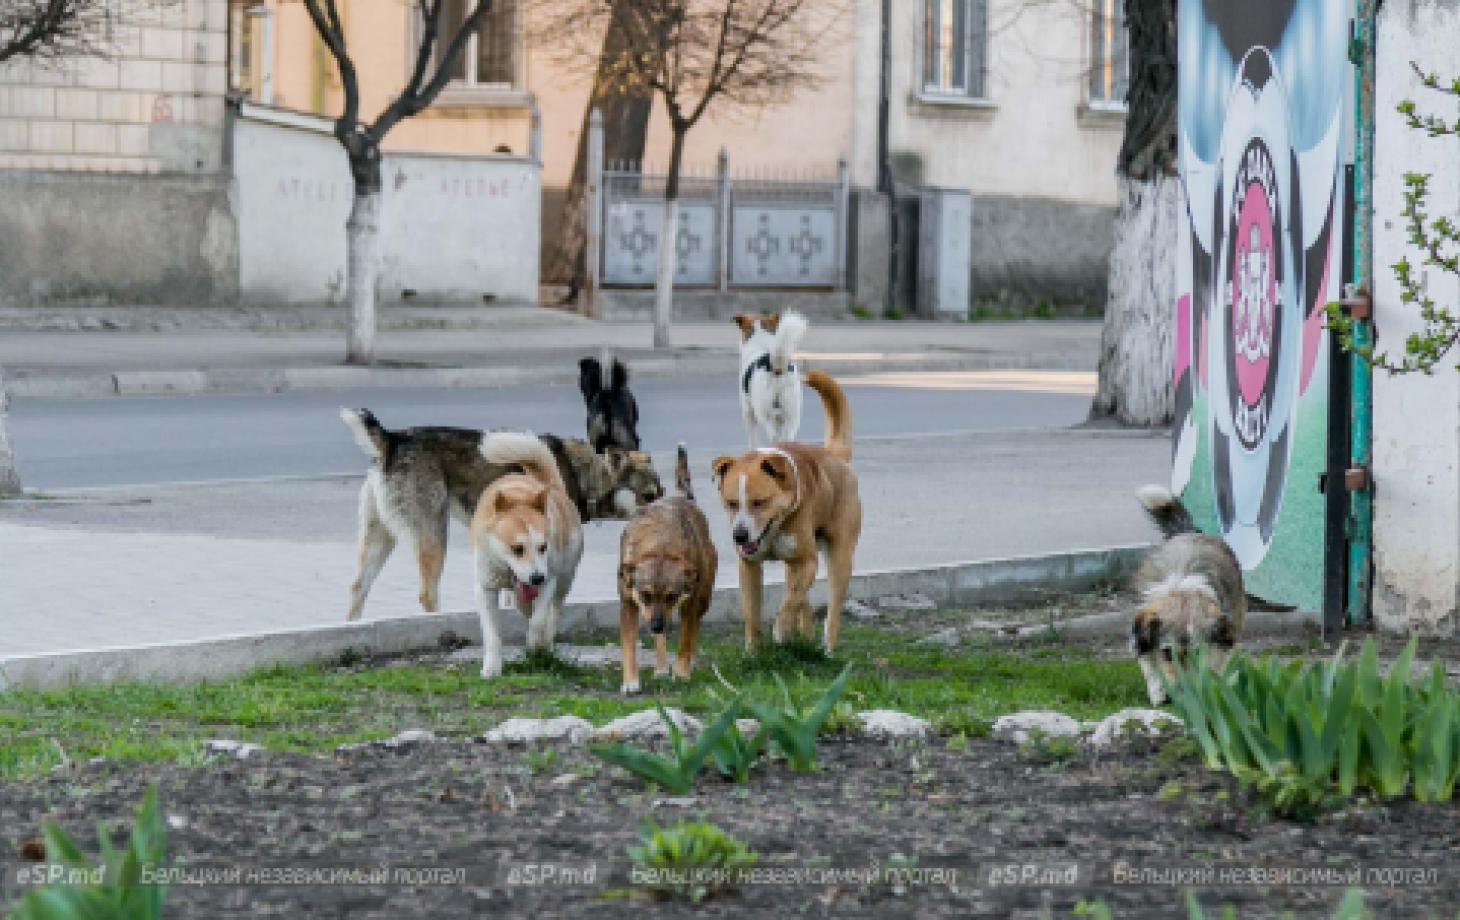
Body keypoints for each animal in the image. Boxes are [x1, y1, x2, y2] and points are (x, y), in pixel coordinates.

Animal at [335, 414, 657, 625]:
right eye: (649, 496)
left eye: (661, 493)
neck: (586, 474)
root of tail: (394, 439)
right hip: (433, 536)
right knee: (427, 594)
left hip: (379, 537)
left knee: (357, 587)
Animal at [467, 432, 581, 677]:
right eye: (517, 549)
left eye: (543, 547)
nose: (536, 577)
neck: (518, 496)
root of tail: (552, 487)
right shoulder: (485, 588)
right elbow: (492, 634)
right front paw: (491, 668)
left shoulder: (549, 579)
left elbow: (539, 620)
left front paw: (535, 645)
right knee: (525, 607)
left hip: (566, 578)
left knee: (554, 610)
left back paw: (546, 643)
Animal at [735, 313, 817, 449]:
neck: (760, 342)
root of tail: (777, 366)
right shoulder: (781, 417)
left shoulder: (748, 412)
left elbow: (752, 440)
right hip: (793, 415)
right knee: (788, 439)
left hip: (766, 415)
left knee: (774, 438)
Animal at [1127, 487, 1243, 709]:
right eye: (1166, 653)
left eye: (1197, 653)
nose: (1181, 694)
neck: (1181, 593)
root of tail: (1187, 533)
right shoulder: (1140, 635)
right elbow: (1148, 663)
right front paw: (1158, 692)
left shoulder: (1223, 638)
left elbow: (1214, 664)